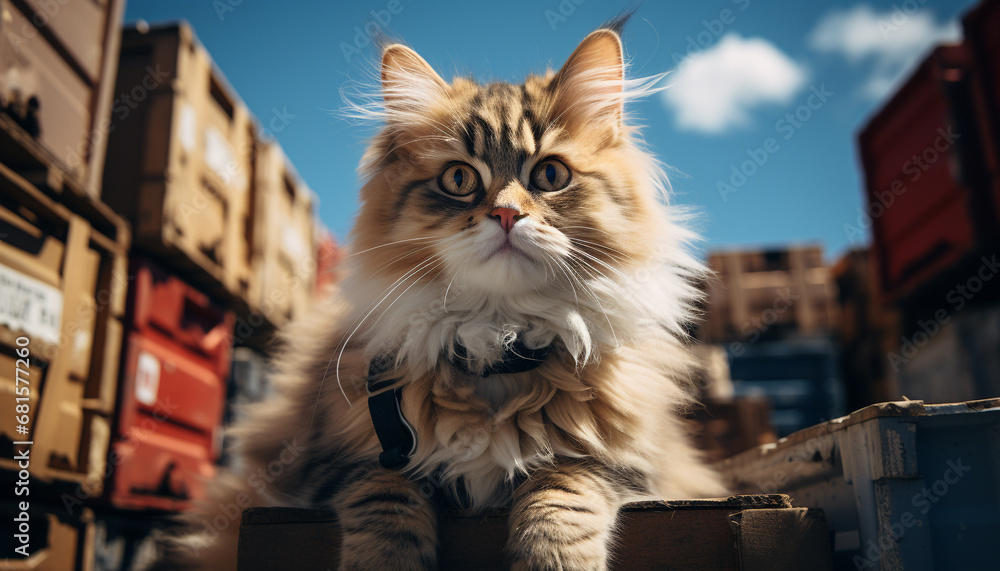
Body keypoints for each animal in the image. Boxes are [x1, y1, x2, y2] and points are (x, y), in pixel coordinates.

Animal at [162, 14, 728, 571]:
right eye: (459, 179)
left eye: (550, 174)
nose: (507, 214)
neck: (498, 344)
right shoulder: (334, 462)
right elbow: (386, 497)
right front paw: (385, 560)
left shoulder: (626, 464)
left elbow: (562, 490)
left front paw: (553, 558)